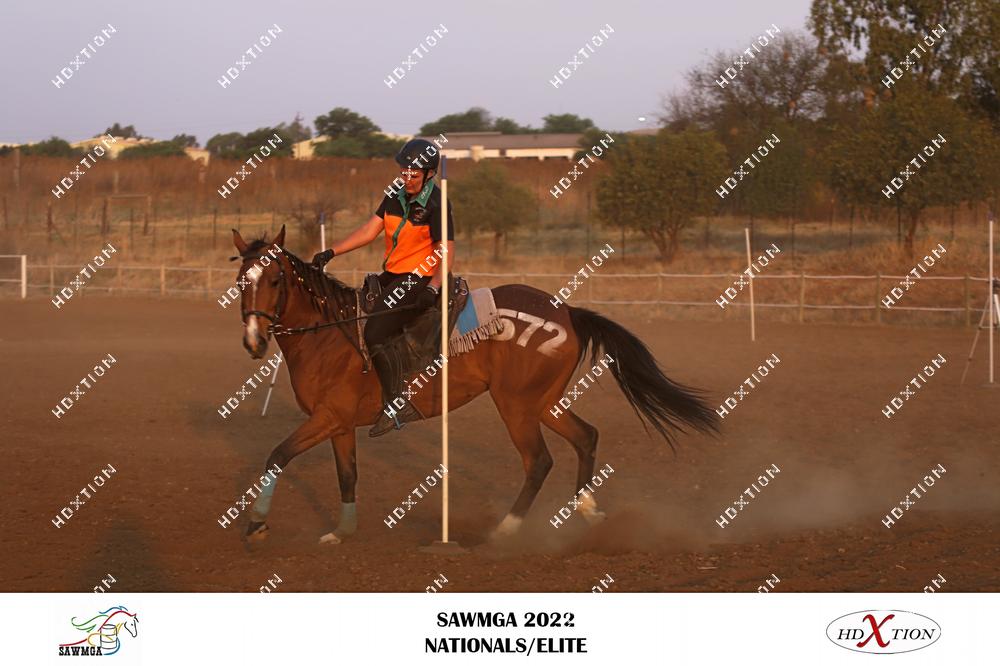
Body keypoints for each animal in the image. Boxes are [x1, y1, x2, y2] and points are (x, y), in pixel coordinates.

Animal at [231, 226, 719, 544]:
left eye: (274, 279)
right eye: (241, 282)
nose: (252, 341)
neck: (330, 333)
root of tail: (565, 311)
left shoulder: (327, 417)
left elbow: (277, 455)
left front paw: (257, 523)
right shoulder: (340, 424)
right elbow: (347, 474)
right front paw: (342, 531)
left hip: (516, 406)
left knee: (539, 461)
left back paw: (505, 530)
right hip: (543, 402)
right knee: (586, 437)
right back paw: (589, 512)